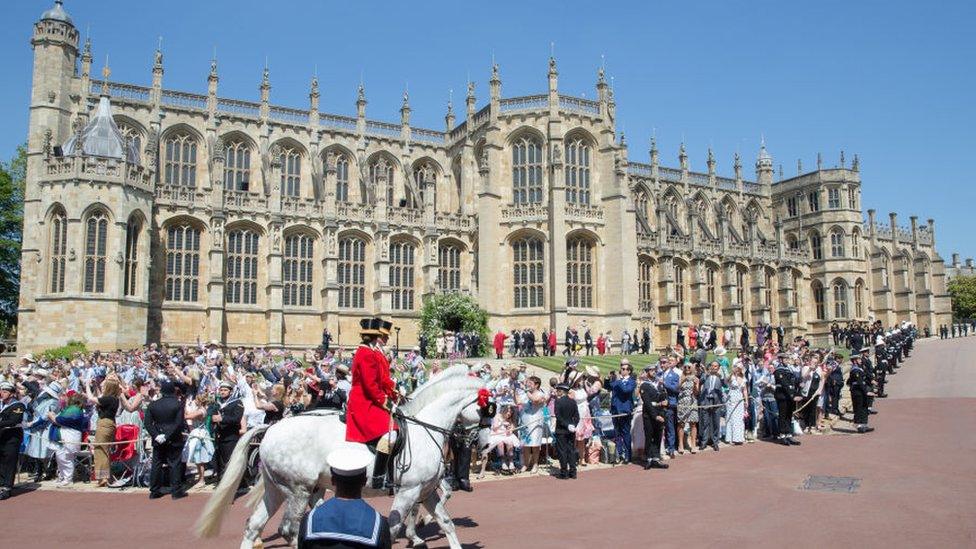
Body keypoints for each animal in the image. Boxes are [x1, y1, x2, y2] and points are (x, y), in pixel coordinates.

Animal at [197, 364, 488, 548]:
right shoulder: (408, 491)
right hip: (298, 489)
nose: (483, 445)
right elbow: (394, 529)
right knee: (288, 531)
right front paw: (413, 535)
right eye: (488, 408)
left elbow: (447, 523)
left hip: (276, 489)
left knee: (253, 526)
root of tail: (272, 427)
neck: (423, 428)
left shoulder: (425, 490)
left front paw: (421, 533)